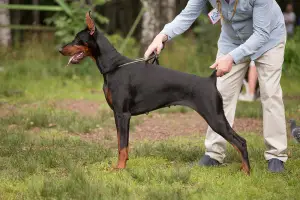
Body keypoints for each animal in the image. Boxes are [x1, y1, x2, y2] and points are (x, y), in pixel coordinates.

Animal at [58, 11, 251, 174]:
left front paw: (119, 169)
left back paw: (247, 172)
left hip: (214, 116)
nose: (60, 49)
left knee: (240, 142)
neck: (114, 66)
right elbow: (121, 144)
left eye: (77, 39)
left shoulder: (123, 114)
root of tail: (210, 80)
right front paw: (121, 165)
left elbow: (123, 145)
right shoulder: (117, 115)